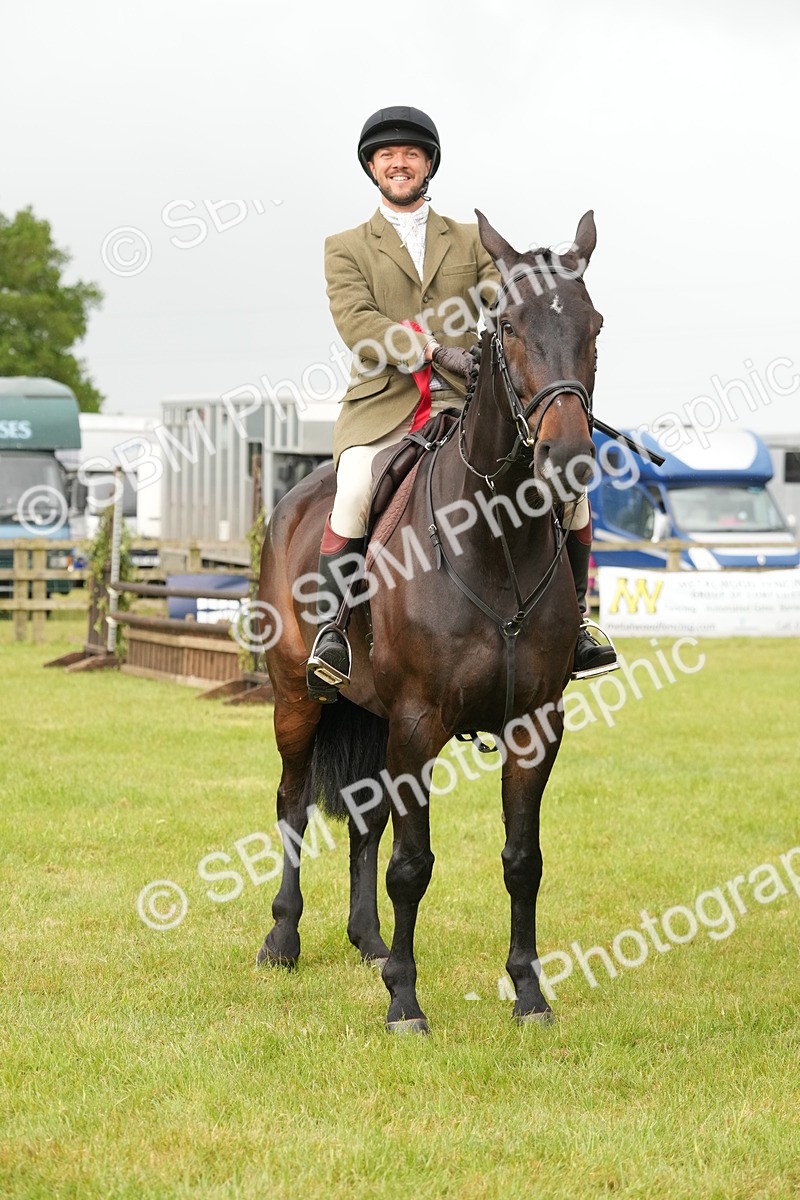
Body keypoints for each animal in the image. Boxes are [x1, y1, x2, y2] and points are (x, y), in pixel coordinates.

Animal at [255, 210, 602, 1033]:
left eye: (596, 327)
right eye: (507, 326)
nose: (568, 457)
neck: (496, 538)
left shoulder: (534, 724)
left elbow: (523, 861)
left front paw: (529, 994)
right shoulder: (418, 723)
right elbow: (412, 866)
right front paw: (406, 1004)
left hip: (371, 715)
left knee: (364, 819)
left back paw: (369, 942)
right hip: (297, 699)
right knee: (292, 802)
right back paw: (283, 938)